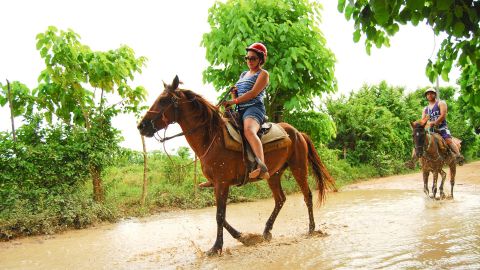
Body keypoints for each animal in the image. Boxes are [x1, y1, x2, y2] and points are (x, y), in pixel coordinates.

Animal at [137, 76, 336, 255]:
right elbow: (221, 215)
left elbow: (219, 216)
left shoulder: (222, 183)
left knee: (307, 195)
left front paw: (216, 247)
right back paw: (266, 231)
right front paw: (244, 237)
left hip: (299, 167)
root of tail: (297, 133)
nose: (141, 126)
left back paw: (311, 229)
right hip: (274, 174)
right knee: (280, 199)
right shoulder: (216, 184)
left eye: (163, 100)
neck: (211, 138)